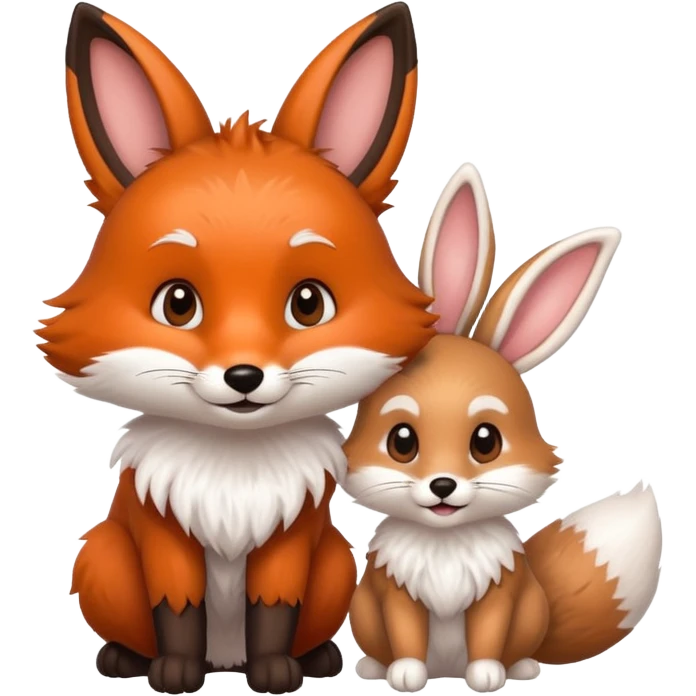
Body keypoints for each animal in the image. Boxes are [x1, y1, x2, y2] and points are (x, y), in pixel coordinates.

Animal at [41, 2, 436, 694]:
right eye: (178, 304)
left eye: (308, 304)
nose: (244, 375)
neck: (234, 468)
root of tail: (224, 659)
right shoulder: (163, 532)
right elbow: (177, 608)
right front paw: (175, 672)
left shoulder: (291, 537)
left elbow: (272, 608)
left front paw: (275, 670)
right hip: (103, 554)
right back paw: (126, 659)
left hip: (337, 560)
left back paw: (315, 658)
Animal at [341, 163, 664, 694]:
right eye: (401, 442)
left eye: (485, 442)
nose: (443, 485)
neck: (446, 544)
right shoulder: (394, 593)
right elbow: (406, 634)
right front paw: (406, 673)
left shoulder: (501, 593)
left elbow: (489, 635)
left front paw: (487, 675)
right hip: (364, 611)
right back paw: (373, 668)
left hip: (532, 610)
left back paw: (521, 668)